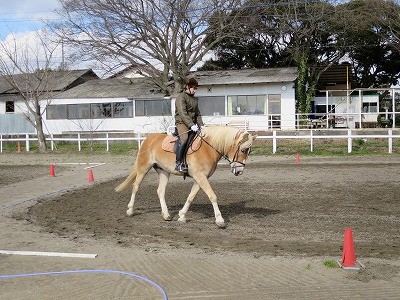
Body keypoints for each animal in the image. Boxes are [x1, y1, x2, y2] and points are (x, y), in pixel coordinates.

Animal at [115, 126, 256, 227]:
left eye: (249, 151)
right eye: (243, 150)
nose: (239, 171)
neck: (208, 149)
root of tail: (148, 139)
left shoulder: (201, 178)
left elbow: (191, 197)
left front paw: (182, 215)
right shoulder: (200, 176)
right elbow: (212, 196)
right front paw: (220, 220)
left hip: (164, 172)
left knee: (160, 191)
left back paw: (166, 215)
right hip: (143, 168)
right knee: (135, 186)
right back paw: (130, 210)